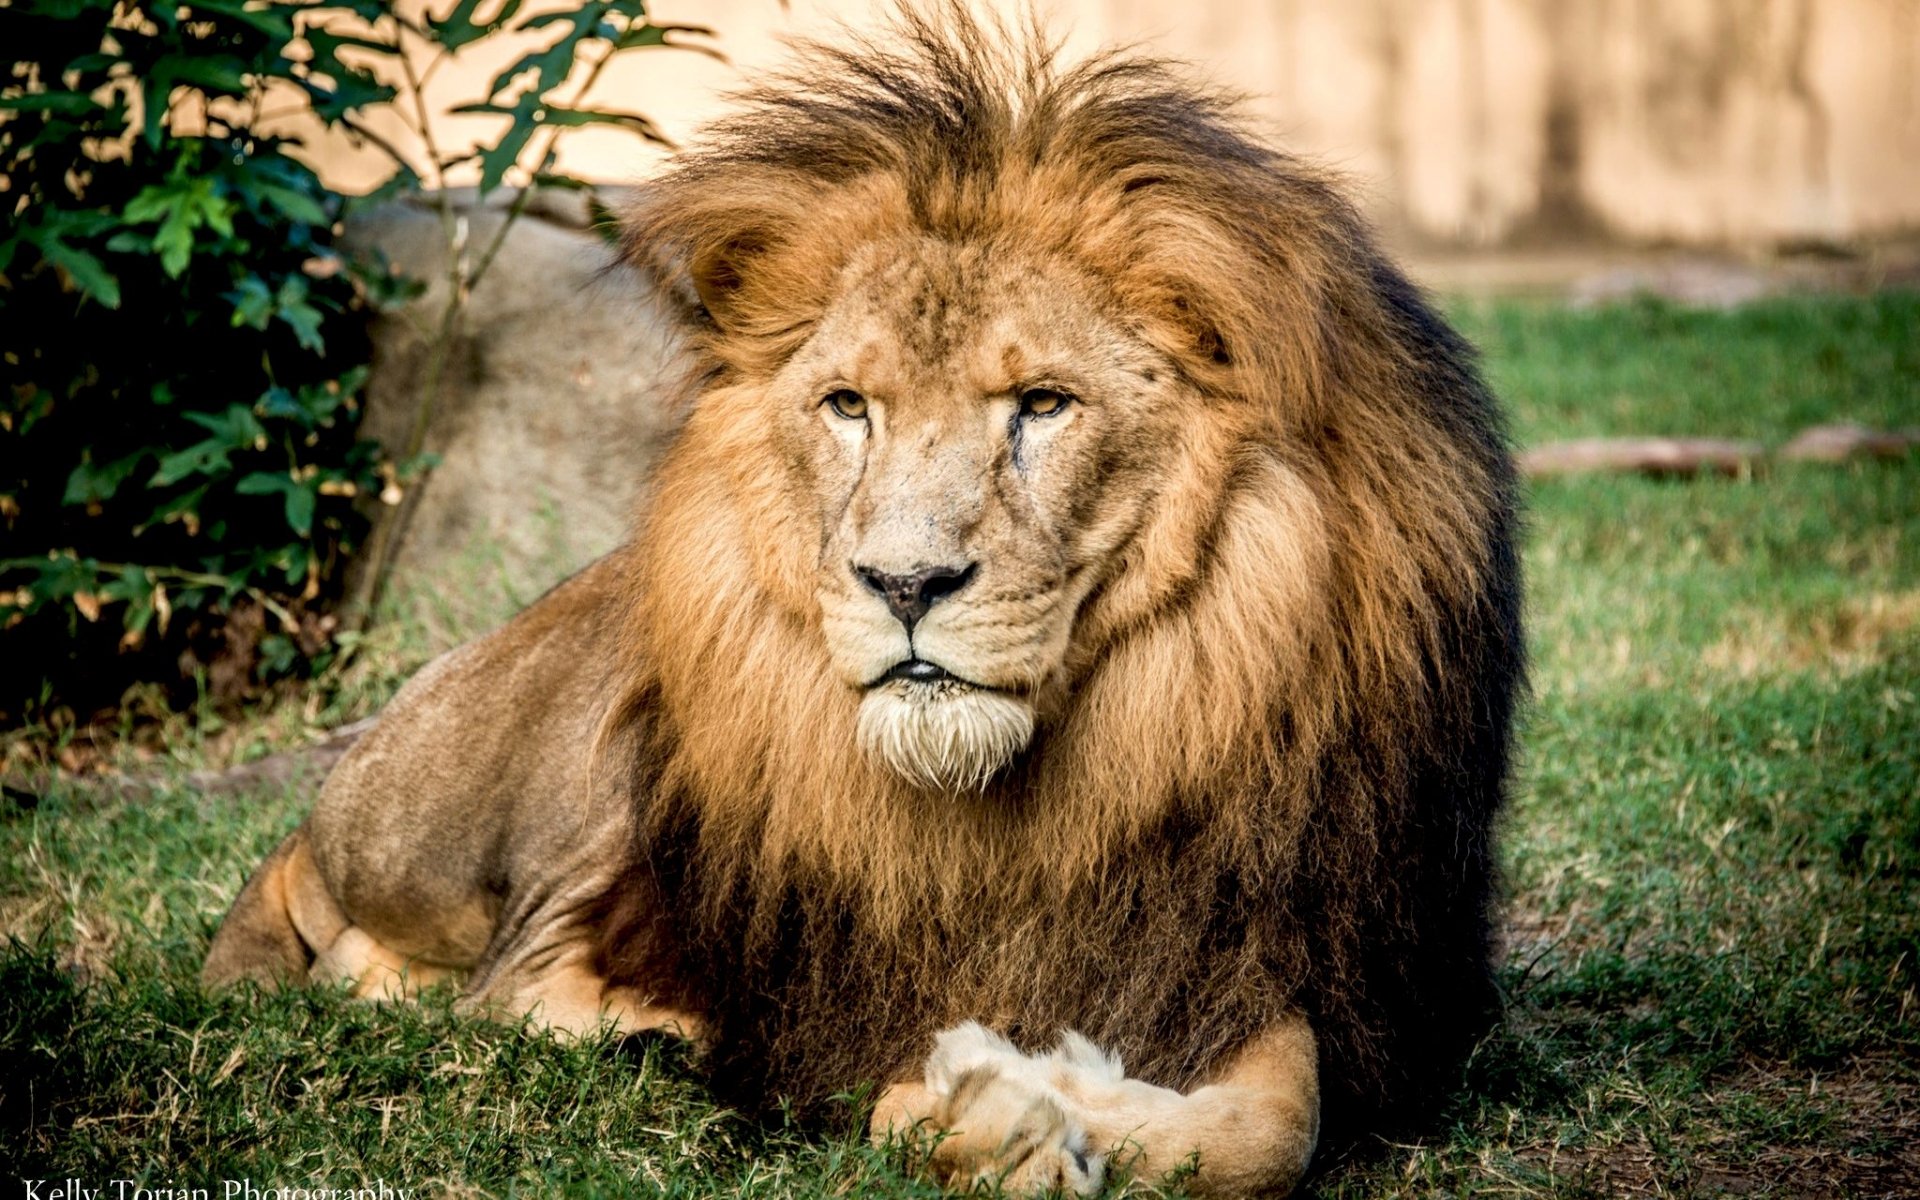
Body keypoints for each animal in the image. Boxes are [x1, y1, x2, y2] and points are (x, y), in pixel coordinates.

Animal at [202, 9, 1524, 1196]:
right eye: (850, 407)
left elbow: (1271, 1129)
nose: (905, 583)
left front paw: (1028, 1103)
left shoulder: (1249, 944)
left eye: (1043, 404)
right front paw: (953, 1105)